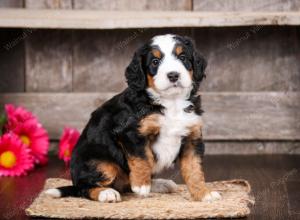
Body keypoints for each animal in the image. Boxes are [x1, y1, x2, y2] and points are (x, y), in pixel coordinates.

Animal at [45, 34, 221, 203]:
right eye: (155, 62)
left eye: (183, 57)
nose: (173, 75)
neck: (171, 101)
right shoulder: (130, 133)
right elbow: (142, 158)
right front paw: (141, 185)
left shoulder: (192, 137)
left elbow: (194, 169)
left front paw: (203, 194)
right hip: (99, 163)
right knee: (84, 187)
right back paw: (106, 193)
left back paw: (160, 184)